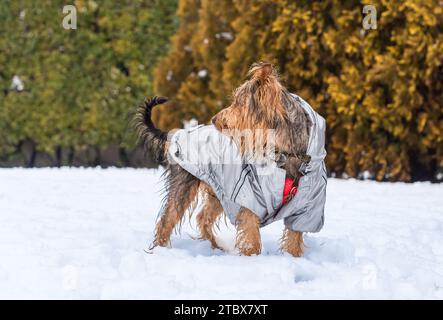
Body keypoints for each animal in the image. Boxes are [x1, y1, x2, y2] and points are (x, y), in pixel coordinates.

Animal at [135, 62, 322, 258]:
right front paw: (252, 257)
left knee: (202, 218)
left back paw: (215, 247)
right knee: (167, 220)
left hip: (219, 191)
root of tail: (178, 134)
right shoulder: (251, 196)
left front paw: (293, 258)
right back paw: (160, 250)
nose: (214, 119)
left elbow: (294, 237)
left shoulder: (307, 207)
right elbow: (251, 235)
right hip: (184, 184)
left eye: (239, 102)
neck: (287, 152)